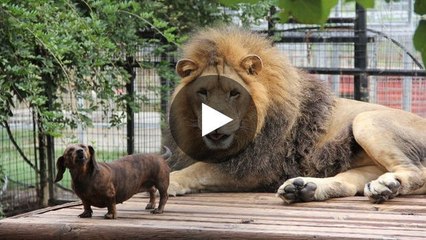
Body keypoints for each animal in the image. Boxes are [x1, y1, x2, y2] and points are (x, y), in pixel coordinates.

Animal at [166, 25, 426, 204]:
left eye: (234, 93)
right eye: (203, 93)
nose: (215, 126)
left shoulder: (254, 167)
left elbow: (197, 170)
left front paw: (169, 181)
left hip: (366, 120)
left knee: (417, 173)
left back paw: (388, 185)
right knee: (347, 184)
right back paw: (304, 189)